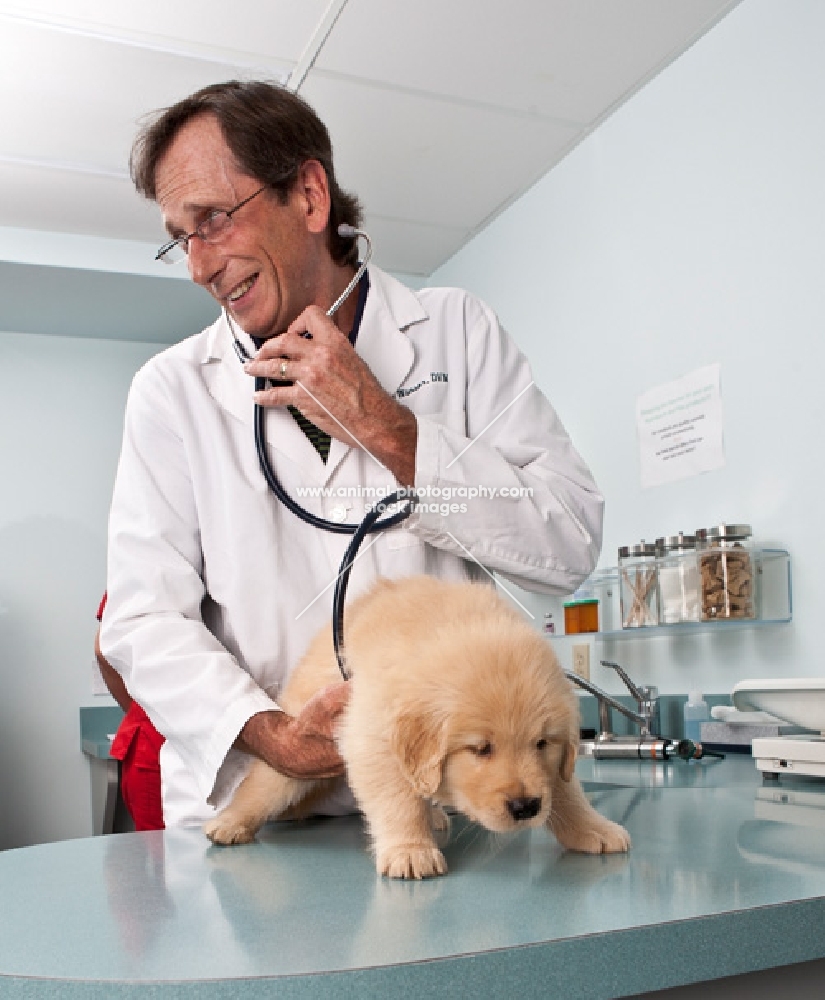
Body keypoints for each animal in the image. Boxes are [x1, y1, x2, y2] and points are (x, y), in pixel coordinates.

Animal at [206, 576, 632, 880]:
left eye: (542, 743)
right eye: (480, 748)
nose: (525, 807)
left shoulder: (552, 768)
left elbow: (566, 790)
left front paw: (593, 828)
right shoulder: (373, 736)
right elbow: (397, 798)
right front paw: (410, 850)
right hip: (297, 737)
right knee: (262, 786)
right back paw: (229, 823)